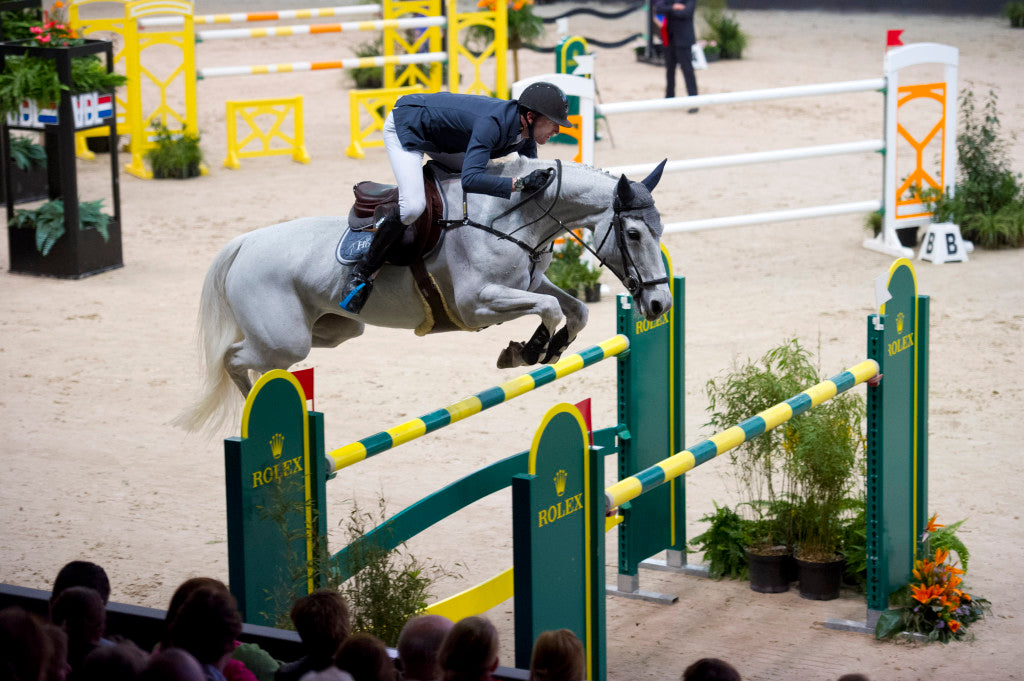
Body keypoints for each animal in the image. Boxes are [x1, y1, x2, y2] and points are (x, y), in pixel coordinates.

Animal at [178, 155, 671, 430]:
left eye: (659, 230)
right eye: (632, 233)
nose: (659, 304)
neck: (512, 214)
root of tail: (244, 243)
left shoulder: (525, 284)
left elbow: (573, 309)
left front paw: (547, 348)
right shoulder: (477, 305)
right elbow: (549, 308)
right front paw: (527, 351)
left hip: (333, 330)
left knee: (259, 357)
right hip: (285, 339)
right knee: (233, 358)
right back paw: (251, 410)